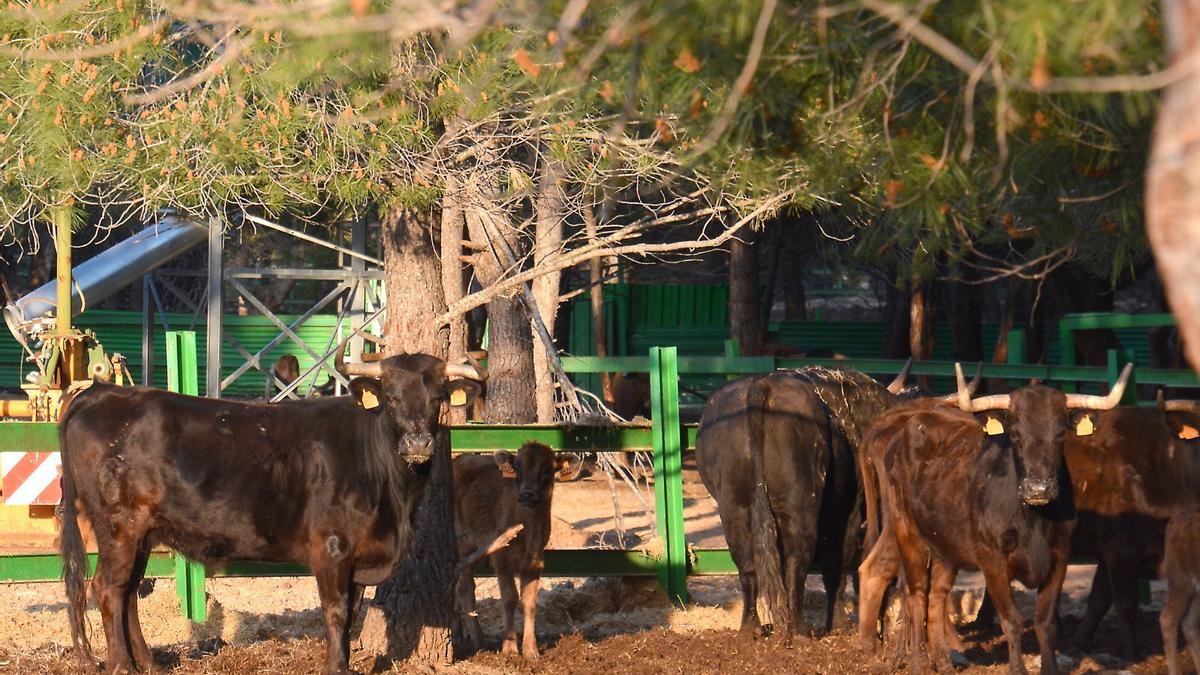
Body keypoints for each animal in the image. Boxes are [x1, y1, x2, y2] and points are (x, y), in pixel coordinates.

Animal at [59, 353, 482, 672]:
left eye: (438, 398)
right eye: (391, 398)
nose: (418, 442)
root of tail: (104, 392)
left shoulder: (359, 555)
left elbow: (353, 612)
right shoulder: (333, 548)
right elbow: (336, 611)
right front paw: (336, 667)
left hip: (143, 532)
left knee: (129, 591)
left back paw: (147, 663)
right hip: (119, 525)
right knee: (109, 588)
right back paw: (120, 666)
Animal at [453, 441, 566, 658]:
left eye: (547, 470)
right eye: (518, 469)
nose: (526, 494)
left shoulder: (534, 563)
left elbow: (529, 602)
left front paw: (531, 651)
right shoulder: (502, 560)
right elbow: (510, 598)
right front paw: (510, 648)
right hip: (462, 547)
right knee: (464, 590)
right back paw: (475, 640)